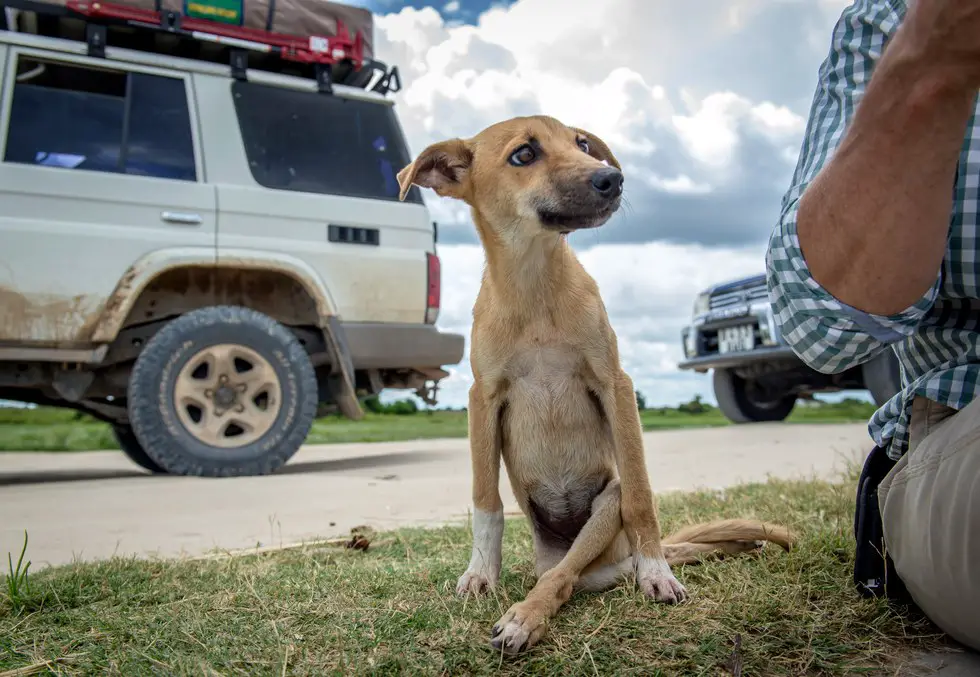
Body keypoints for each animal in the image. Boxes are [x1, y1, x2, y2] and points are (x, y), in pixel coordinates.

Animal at [394, 117, 792, 656]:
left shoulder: (615, 385)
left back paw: (532, 615)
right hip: (569, 553)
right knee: (565, 573)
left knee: (566, 576)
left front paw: (657, 574)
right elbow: (485, 500)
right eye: (523, 155)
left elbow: (643, 496)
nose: (612, 179)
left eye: (581, 144)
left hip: (605, 510)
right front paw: (480, 573)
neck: (535, 286)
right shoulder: (483, 397)